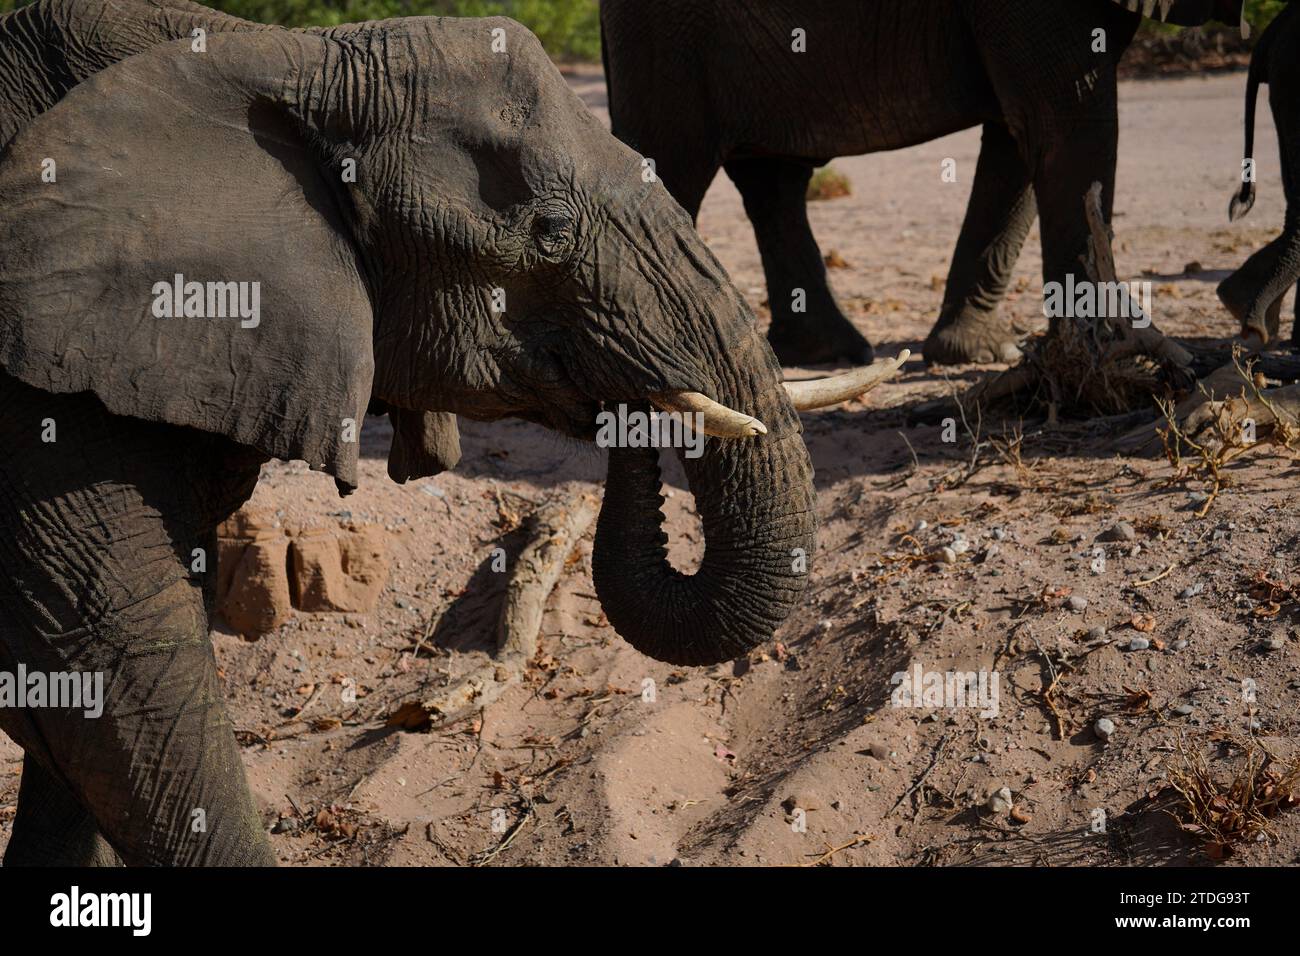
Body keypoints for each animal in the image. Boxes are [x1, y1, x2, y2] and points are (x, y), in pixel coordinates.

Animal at [603, 0, 1242, 366]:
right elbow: (1065, 122)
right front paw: (1109, 352)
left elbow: (1019, 137)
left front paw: (980, 354)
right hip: (666, 38)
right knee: (670, 167)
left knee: (773, 179)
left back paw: (833, 354)